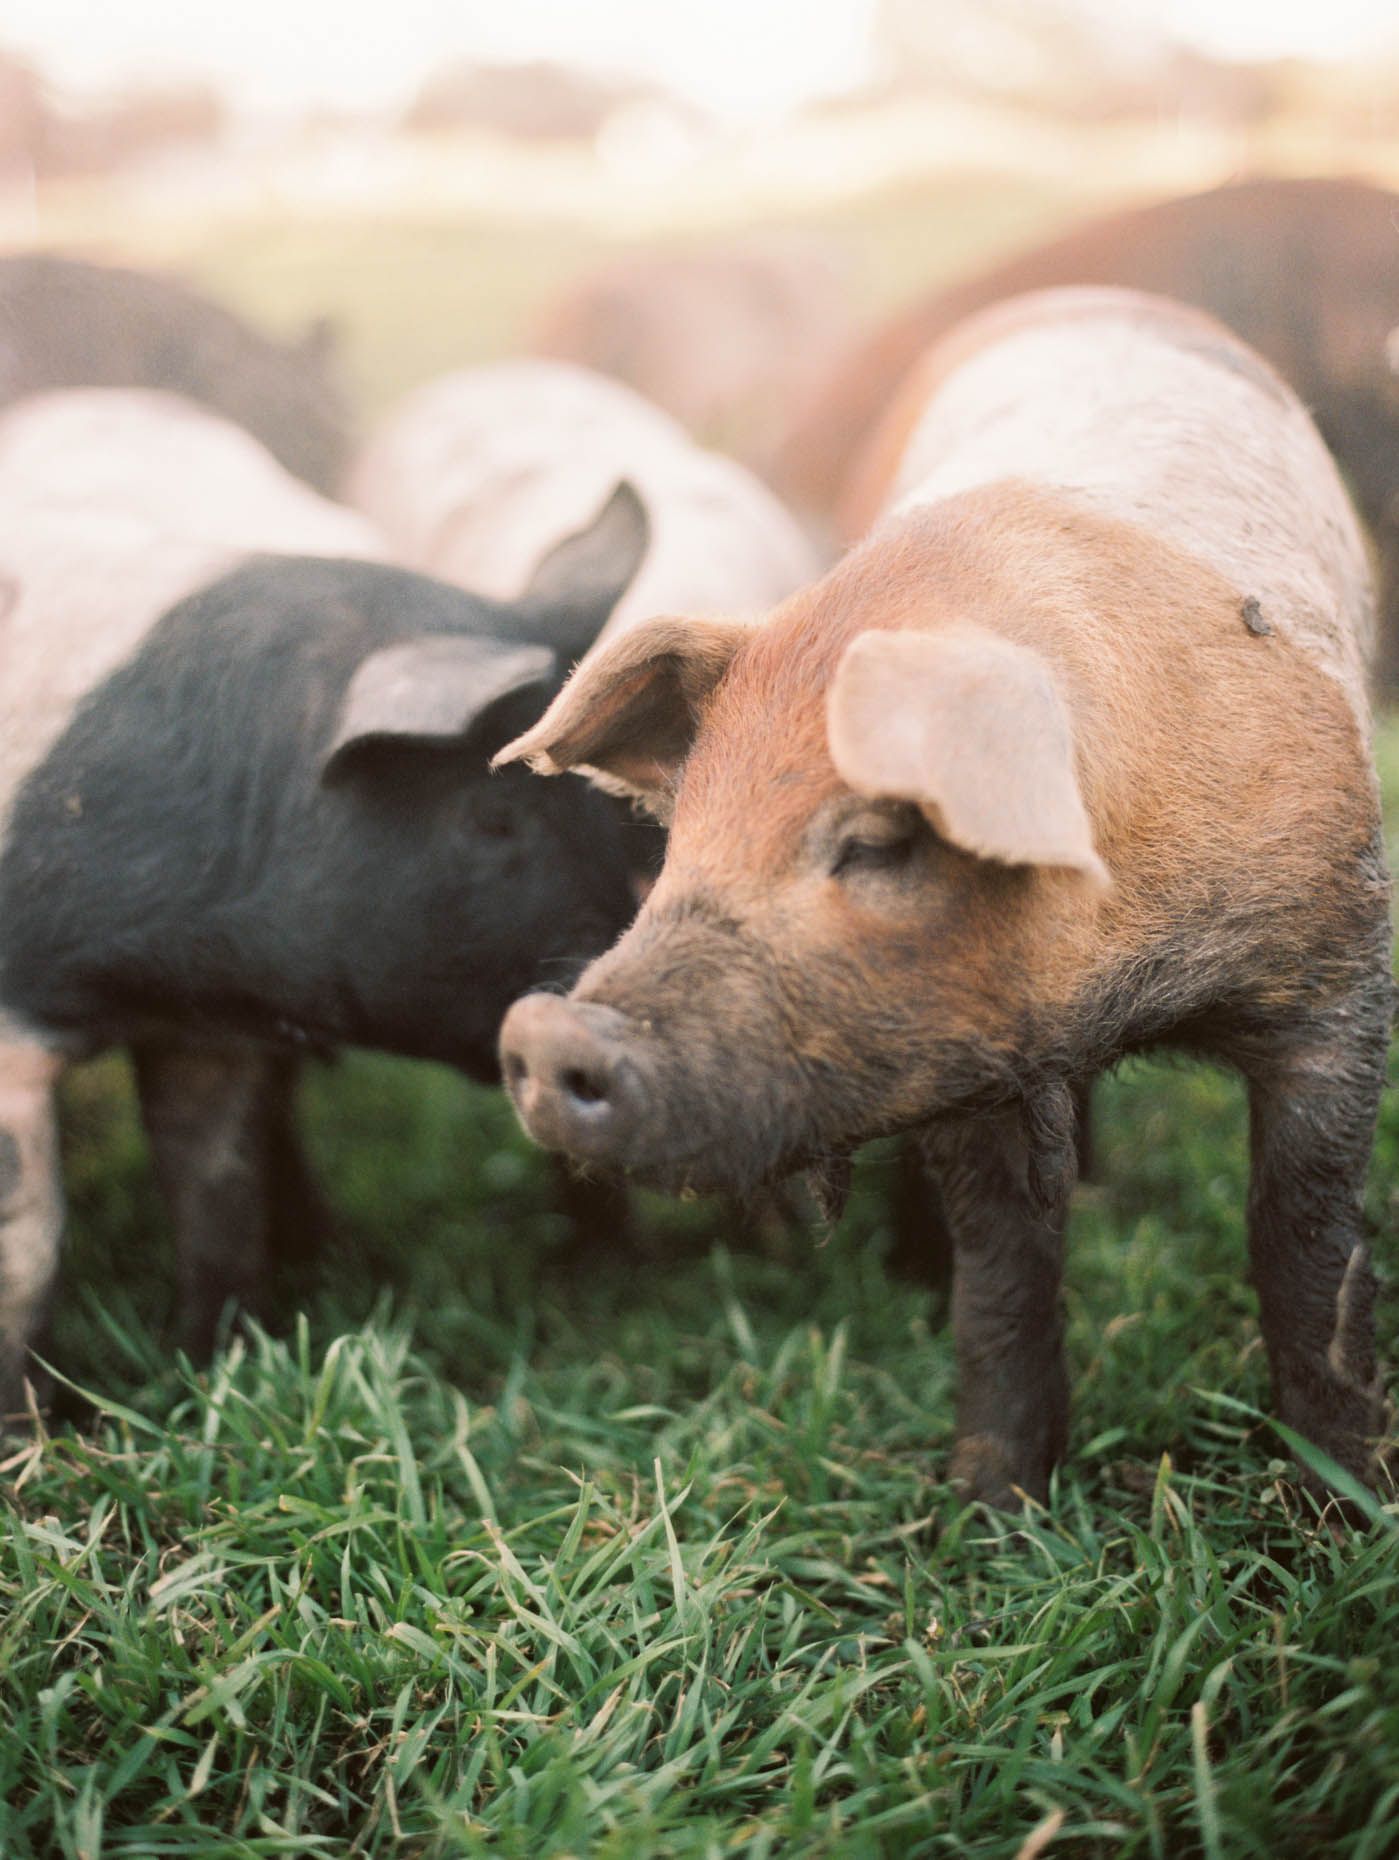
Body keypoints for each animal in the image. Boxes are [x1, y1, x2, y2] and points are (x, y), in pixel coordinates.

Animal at [0, 389, 651, 1413]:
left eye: (605, 809)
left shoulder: (205, 1033)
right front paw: (31, 1430)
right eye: (491, 815)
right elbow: (28, 1243)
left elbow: (220, 1195)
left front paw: (215, 1372)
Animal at [497, 287, 1393, 1510]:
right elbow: (1003, 1267)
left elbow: (1304, 1238)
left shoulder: (1337, 967)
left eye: (877, 841)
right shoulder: (969, 1057)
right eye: (683, 835)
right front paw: (986, 1512)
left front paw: (1343, 1505)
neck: (1121, 989)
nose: (548, 1031)